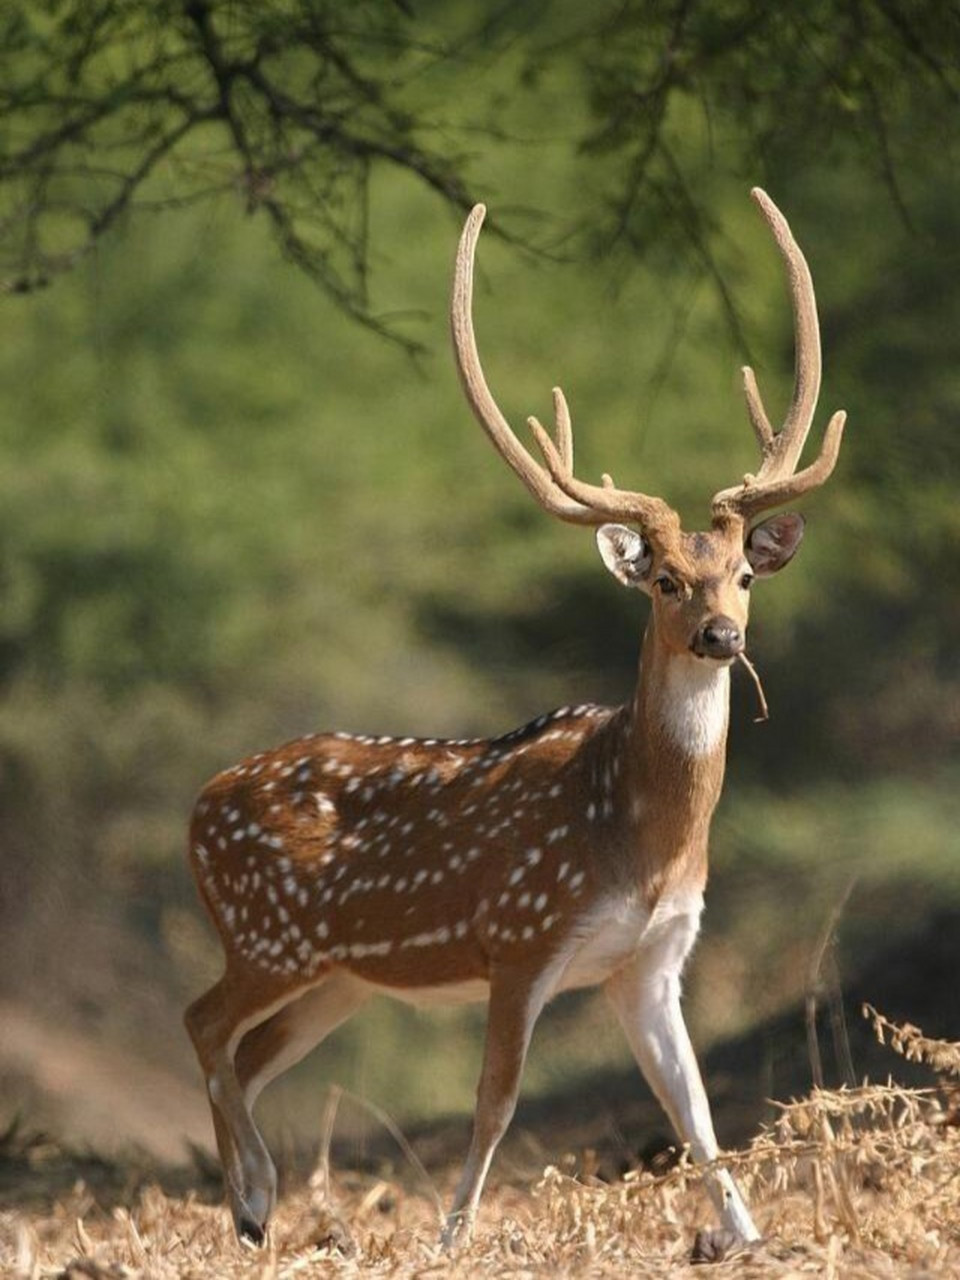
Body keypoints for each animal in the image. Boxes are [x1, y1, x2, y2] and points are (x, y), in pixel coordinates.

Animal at [188, 189, 849, 1249]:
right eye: (665, 579)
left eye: (744, 576)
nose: (720, 636)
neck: (641, 835)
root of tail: (196, 807)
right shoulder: (522, 933)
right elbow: (495, 1100)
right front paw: (452, 1236)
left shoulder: (653, 959)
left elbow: (696, 1109)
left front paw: (748, 1237)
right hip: (264, 936)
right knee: (203, 1026)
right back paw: (250, 1204)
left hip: (338, 977)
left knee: (244, 1054)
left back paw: (259, 1206)